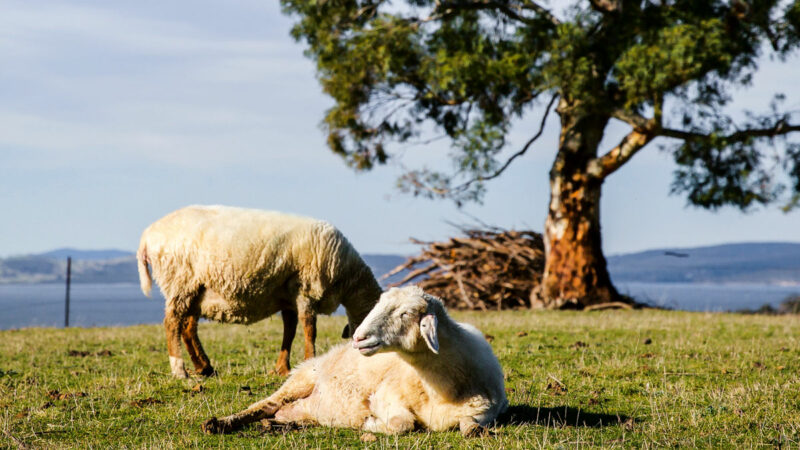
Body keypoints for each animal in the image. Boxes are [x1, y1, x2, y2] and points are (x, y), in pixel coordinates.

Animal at [137, 206, 382, 378]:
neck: (347, 279)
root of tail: (147, 236)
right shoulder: (306, 290)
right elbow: (309, 330)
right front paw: (310, 361)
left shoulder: (289, 296)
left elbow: (290, 331)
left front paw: (282, 368)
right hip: (179, 280)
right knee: (172, 323)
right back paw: (180, 370)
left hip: (197, 289)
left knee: (188, 328)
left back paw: (205, 367)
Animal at [203, 284, 510, 436]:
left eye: (406, 314)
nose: (359, 338)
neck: (441, 389)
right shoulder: (385, 396)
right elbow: (402, 424)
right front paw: (370, 424)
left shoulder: (484, 412)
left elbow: (471, 430)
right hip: (302, 378)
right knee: (264, 405)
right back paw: (220, 424)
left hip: (307, 408)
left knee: (283, 413)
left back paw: (280, 425)